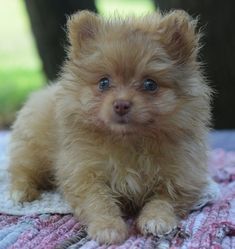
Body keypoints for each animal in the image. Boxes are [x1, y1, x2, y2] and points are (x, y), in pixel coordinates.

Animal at [8, 10, 211, 245]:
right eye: (103, 83)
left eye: (150, 84)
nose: (121, 104)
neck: (129, 141)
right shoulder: (84, 172)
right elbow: (99, 202)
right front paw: (108, 227)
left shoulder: (181, 176)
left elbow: (164, 200)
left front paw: (156, 220)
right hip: (32, 150)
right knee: (21, 170)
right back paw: (21, 192)